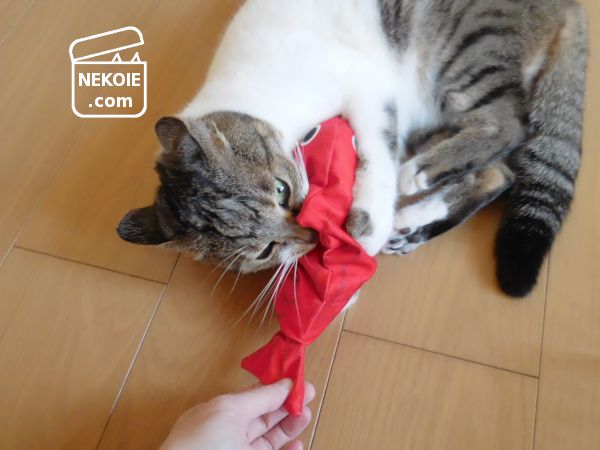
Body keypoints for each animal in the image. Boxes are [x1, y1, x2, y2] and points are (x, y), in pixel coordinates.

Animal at [118, 0, 588, 298]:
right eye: (265, 252)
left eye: (281, 190)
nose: (309, 234)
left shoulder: (367, 85)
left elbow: (377, 152)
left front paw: (369, 225)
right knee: (499, 173)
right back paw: (413, 219)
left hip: (465, 47)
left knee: (506, 125)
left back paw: (417, 177)